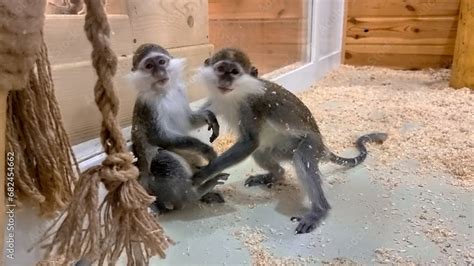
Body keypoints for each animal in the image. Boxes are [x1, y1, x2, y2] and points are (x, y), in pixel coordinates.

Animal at [127, 43, 229, 213]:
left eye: (161, 62)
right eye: (149, 66)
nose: (160, 72)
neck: (164, 92)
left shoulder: (180, 90)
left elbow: (188, 120)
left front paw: (208, 115)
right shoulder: (149, 105)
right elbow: (159, 137)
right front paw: (206, 150)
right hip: (157, 187)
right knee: (162, 157)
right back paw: (196, 193)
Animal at [193, 47, 388, 233]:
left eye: (234, 72)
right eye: (221, 69)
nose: (225, 81)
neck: (234, 95)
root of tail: (323, 146)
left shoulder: (251, 106)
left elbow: (250, 142)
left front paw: (202, 174)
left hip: (310, 144)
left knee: (301, 156)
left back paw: (319, 211)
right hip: (281, 149)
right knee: (262, 153)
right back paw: (276, 174)